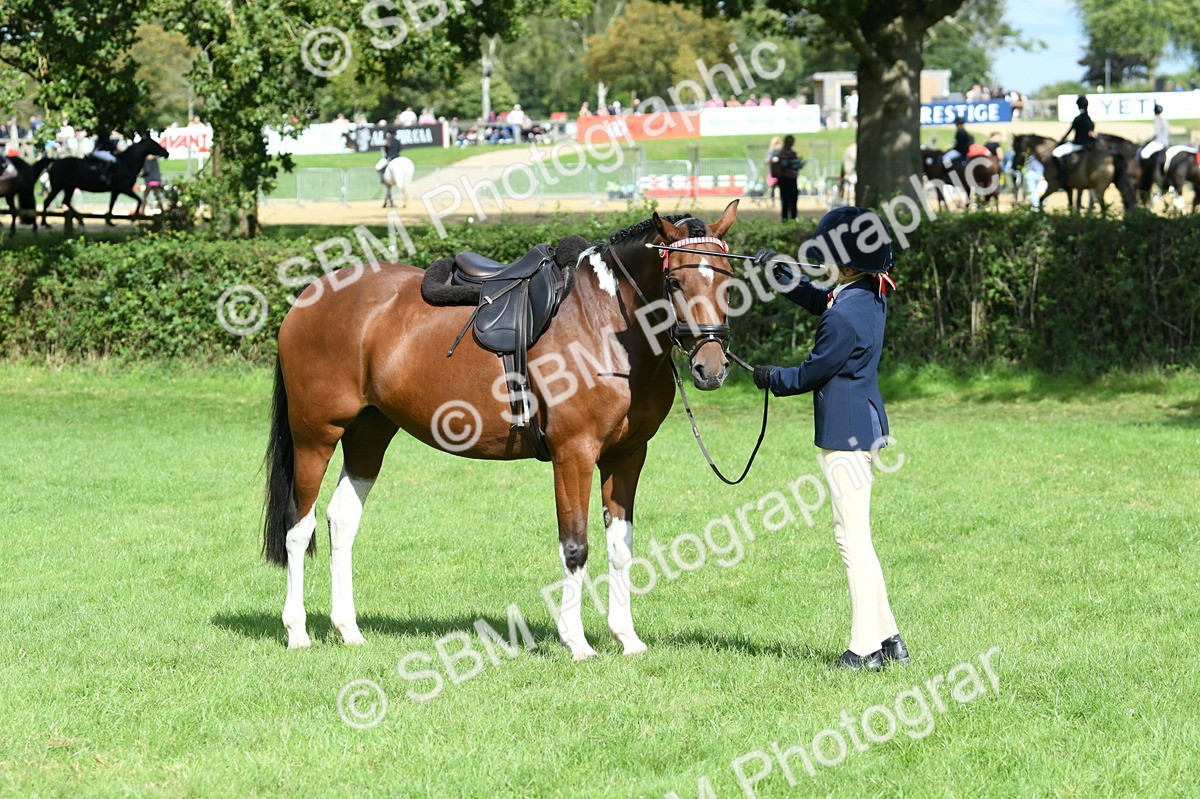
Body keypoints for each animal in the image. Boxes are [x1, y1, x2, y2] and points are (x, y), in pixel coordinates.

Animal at [39, 137, 169, 227]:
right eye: (155, 144)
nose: (167, 153)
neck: (128, 163)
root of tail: (55, 161)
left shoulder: (116, 191)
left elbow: (111, 205)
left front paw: (109, 221)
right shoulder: (124, 189)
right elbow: (139, 200)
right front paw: (133, 218)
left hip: (69, 187)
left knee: (65, 201)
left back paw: (80, 219)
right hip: (58, 187)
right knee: (47, 202)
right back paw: (45, 223)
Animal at [263, 202, 743, 659]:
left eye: (729, 281)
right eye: (675, 282)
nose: (712, 366)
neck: (604, 323)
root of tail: (309, 297)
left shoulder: (627, 456)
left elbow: (620, 547)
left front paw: (627, 638)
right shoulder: (574, 454)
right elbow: (576, 546)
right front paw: (577, 643)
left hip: (369, 434)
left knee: (342, 520)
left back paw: (349, 630)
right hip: (315, 436)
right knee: (298, 527)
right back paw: (297, 632)